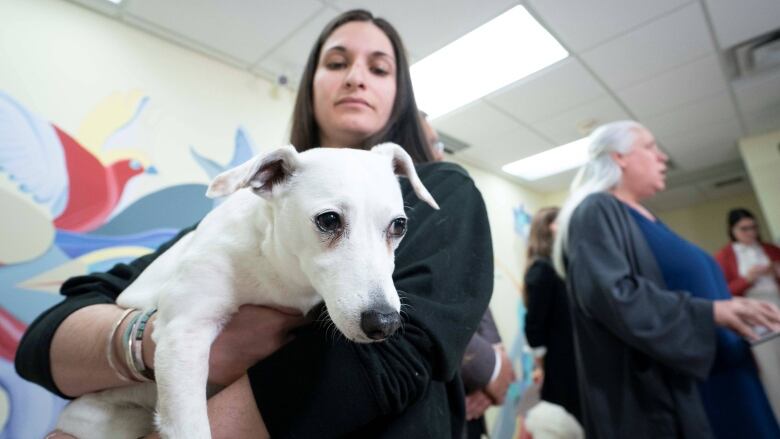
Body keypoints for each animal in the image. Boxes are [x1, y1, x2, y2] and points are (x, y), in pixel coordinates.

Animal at [56, 144, 438, 439]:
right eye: (328, 219)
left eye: (399, 225)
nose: (384, 323)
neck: (277, 269)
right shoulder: (185, 333)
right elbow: (191, 428)